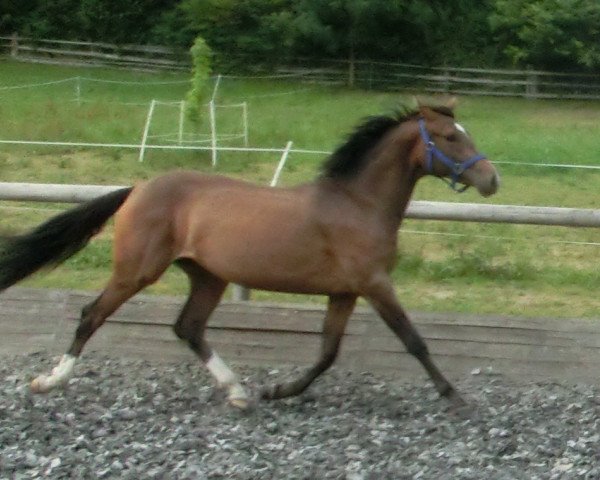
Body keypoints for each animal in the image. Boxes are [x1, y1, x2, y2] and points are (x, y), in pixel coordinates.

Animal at [0, 99, 496, 410]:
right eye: (450, 137)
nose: (492, 180)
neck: (358, 203)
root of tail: (138, 189)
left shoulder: (345, 292)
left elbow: (327, 353)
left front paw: (278, 391)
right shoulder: (374, 284)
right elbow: (412, 339)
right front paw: (455, 397)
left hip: (207, 275)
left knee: (188, 327)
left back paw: (238, 392)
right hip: (137, 270)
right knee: (92, 314)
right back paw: (49, 381)